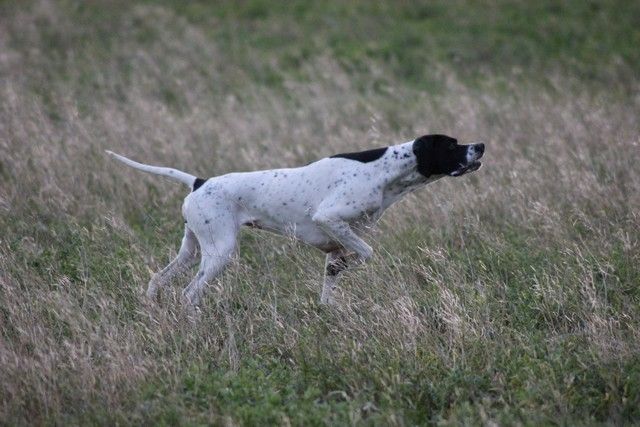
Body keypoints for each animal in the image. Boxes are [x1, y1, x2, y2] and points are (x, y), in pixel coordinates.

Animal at [107, 134, 482, 304]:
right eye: (451, 145)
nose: (480, 145)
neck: (385, 171)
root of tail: (200, 181)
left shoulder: (335, 245)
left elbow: (331, 284)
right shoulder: (330, 218)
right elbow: (366, 253)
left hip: (192, 249)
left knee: (158, 279)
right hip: (219, 252)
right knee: (189, 293)